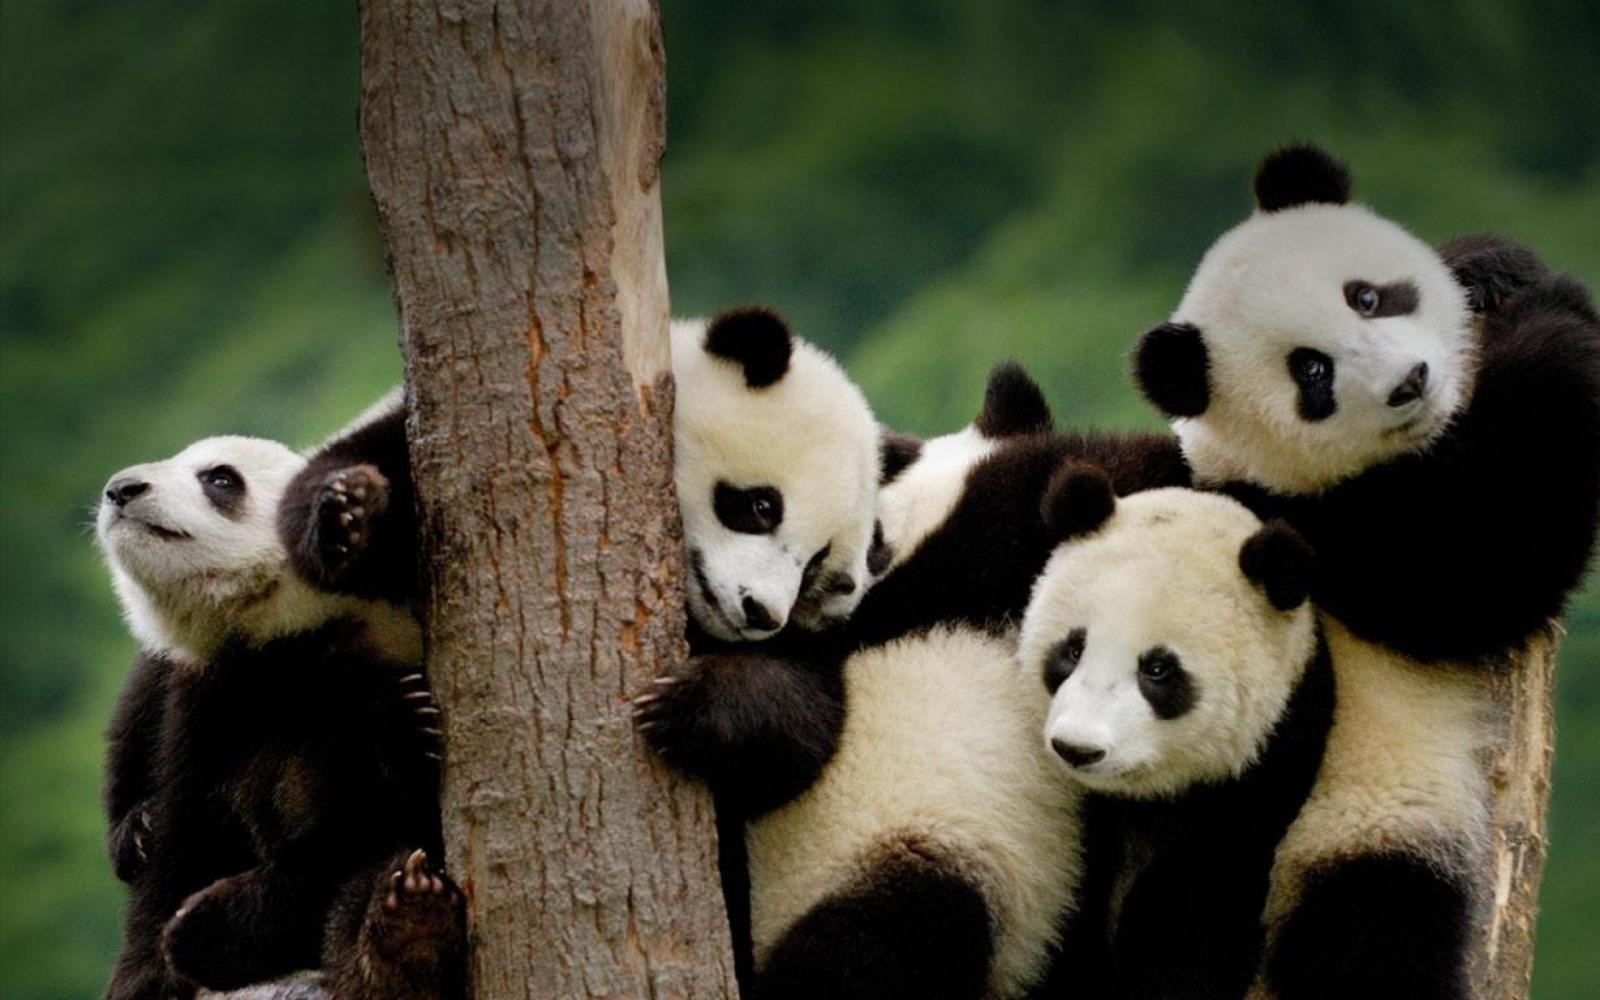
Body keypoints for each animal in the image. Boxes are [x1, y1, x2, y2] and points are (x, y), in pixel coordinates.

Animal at [96, 434, 463, 1000]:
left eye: (220, 478)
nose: (122, 489)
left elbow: (356, 835)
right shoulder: (208, 701)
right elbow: (182, 839)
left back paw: (406, 931)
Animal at [1018, 466, 1331, 999]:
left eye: (1159, 670)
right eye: (1072, 650)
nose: (1078, 749)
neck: (1148, 798)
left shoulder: (1271, 761)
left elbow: (1199, 911)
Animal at [1131, 144, 1600, 998]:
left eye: (1367, 296)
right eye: (1311, 373)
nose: (1410, 381)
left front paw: (1492, 267)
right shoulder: (1322, 530)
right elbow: (1489, 562)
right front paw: (1556, 308)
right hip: (1354, 829)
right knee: (1367, 937)